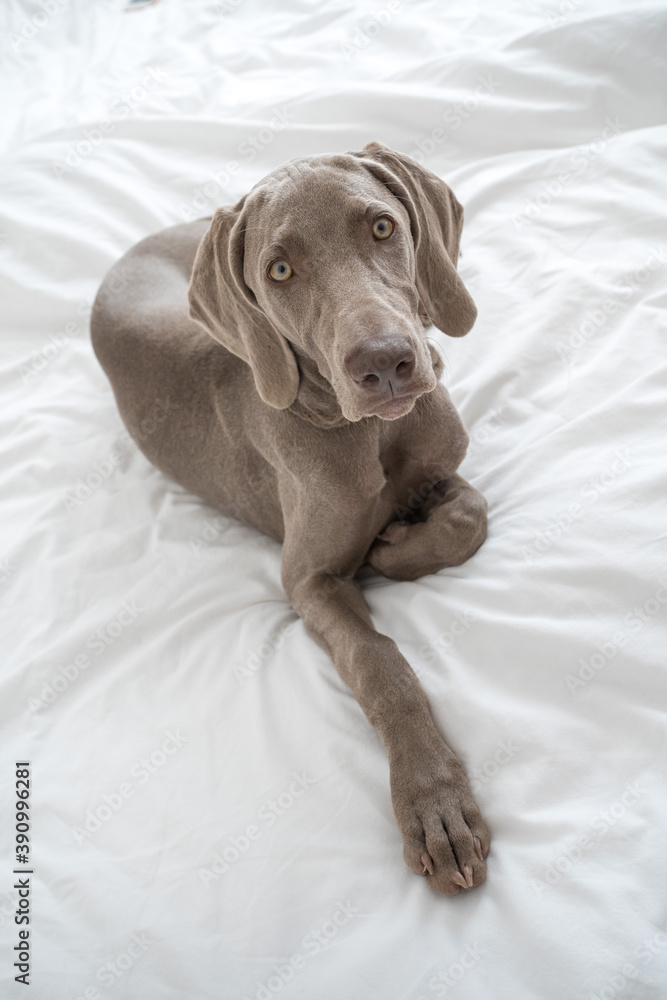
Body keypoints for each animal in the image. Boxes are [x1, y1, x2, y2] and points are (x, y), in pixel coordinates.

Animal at [90, 137, 490, 896]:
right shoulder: (307, 580)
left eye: (382, 227)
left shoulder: (440, 464)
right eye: (279, 271)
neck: (370, 432)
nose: (385, 365)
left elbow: (469, 516)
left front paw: (396, 540)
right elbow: (379, 662)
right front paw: (435, 803)